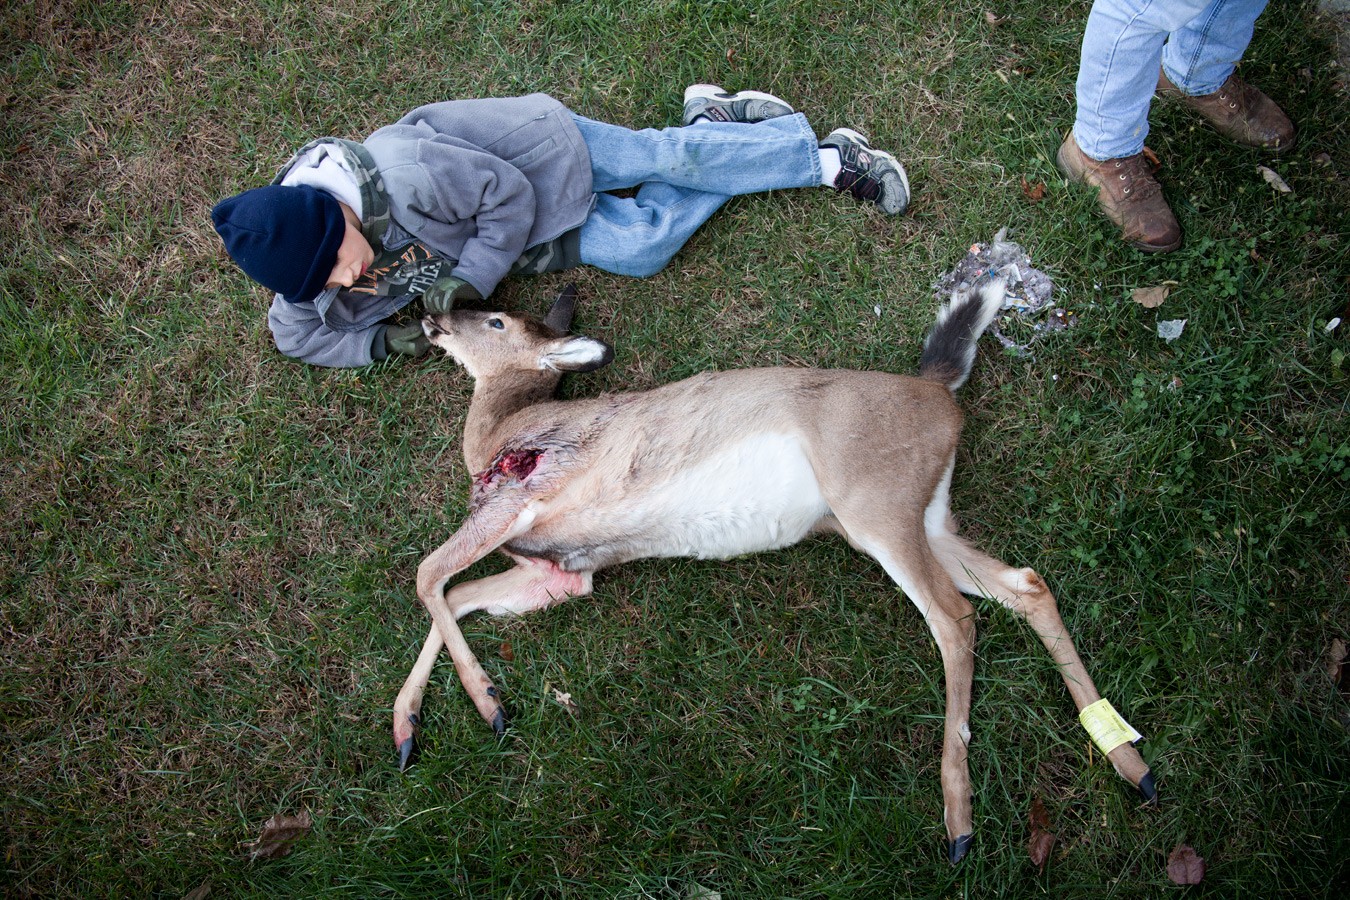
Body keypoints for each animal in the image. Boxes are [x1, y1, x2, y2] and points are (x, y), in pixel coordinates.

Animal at [394, 284, 1155, 863]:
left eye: (495, 319)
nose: (435, 311)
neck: (498, 434)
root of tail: (935, 390)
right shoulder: (560, 572)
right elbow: (459, 594)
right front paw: (409, 729)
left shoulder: (520, 500)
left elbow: (427, 577)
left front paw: (487, 704)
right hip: (922, 517)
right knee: (1026, 584)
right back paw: (1131, 764)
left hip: (874, 505)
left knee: (954, 618)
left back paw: (958, 818)